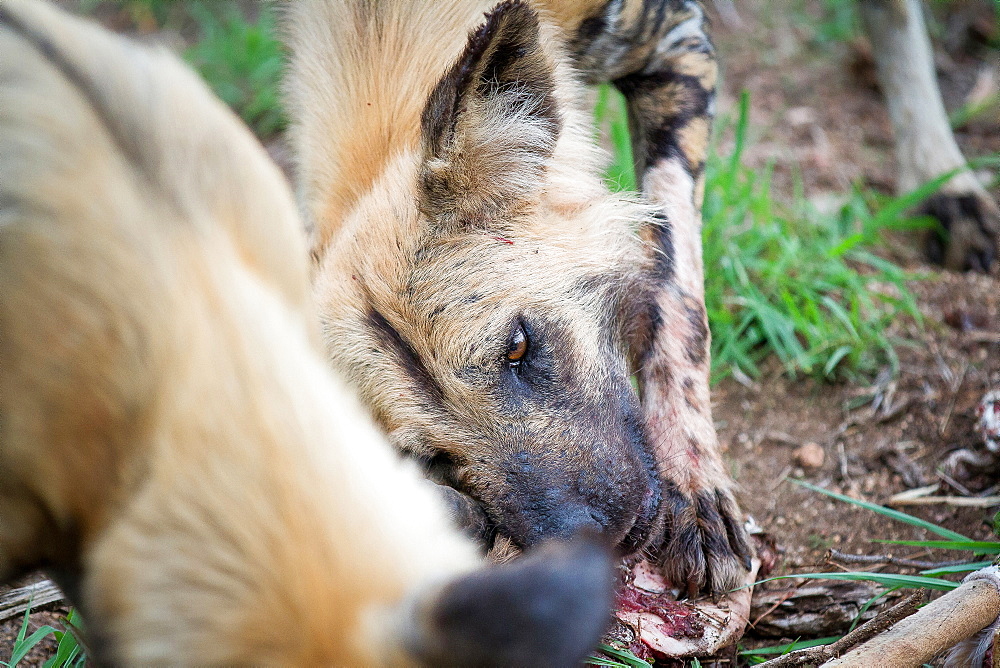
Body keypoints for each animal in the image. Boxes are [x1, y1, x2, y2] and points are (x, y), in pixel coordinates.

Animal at [286, 0, 752, 596]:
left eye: (517, 347)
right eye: (428, 455)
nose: (589, 540)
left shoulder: (679, 43)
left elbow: (677, 293)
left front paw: (692, 483)